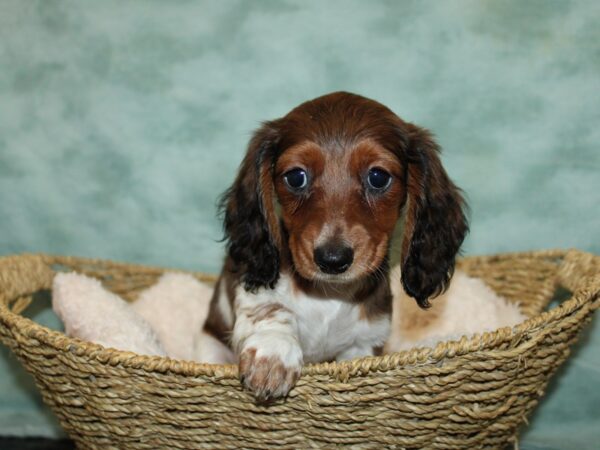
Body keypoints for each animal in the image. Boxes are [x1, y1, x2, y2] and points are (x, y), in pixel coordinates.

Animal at [204, 91, 466, 400]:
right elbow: (272, 308)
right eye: (296, 177)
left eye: (378, 177)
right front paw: (273, 352)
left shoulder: (364, 342)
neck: (328, 295)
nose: (332, 259)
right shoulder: (252, 292)